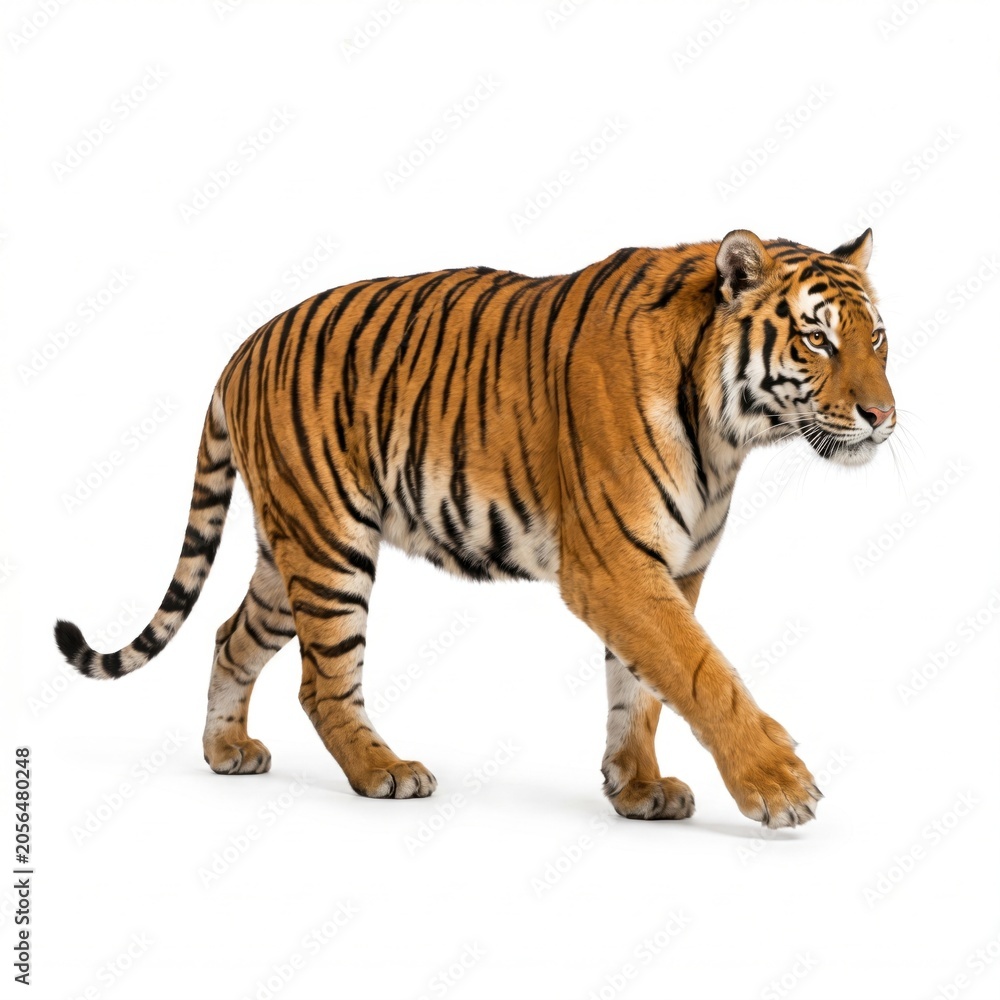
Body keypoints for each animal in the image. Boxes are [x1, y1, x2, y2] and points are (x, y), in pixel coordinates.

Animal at [55, 227, 895, 829]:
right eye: (817, 339)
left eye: (876, 337)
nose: (883, 416)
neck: (728, 434)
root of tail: (243, 346)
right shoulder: (615, 566)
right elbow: (699, 672)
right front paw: (779, 785)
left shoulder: (673, 568)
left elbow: (643, 689)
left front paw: (638, 788)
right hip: (331, 549)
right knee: (322, 683)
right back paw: (384, 771)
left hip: (287, 552)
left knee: (231, 635)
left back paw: (226, 749)